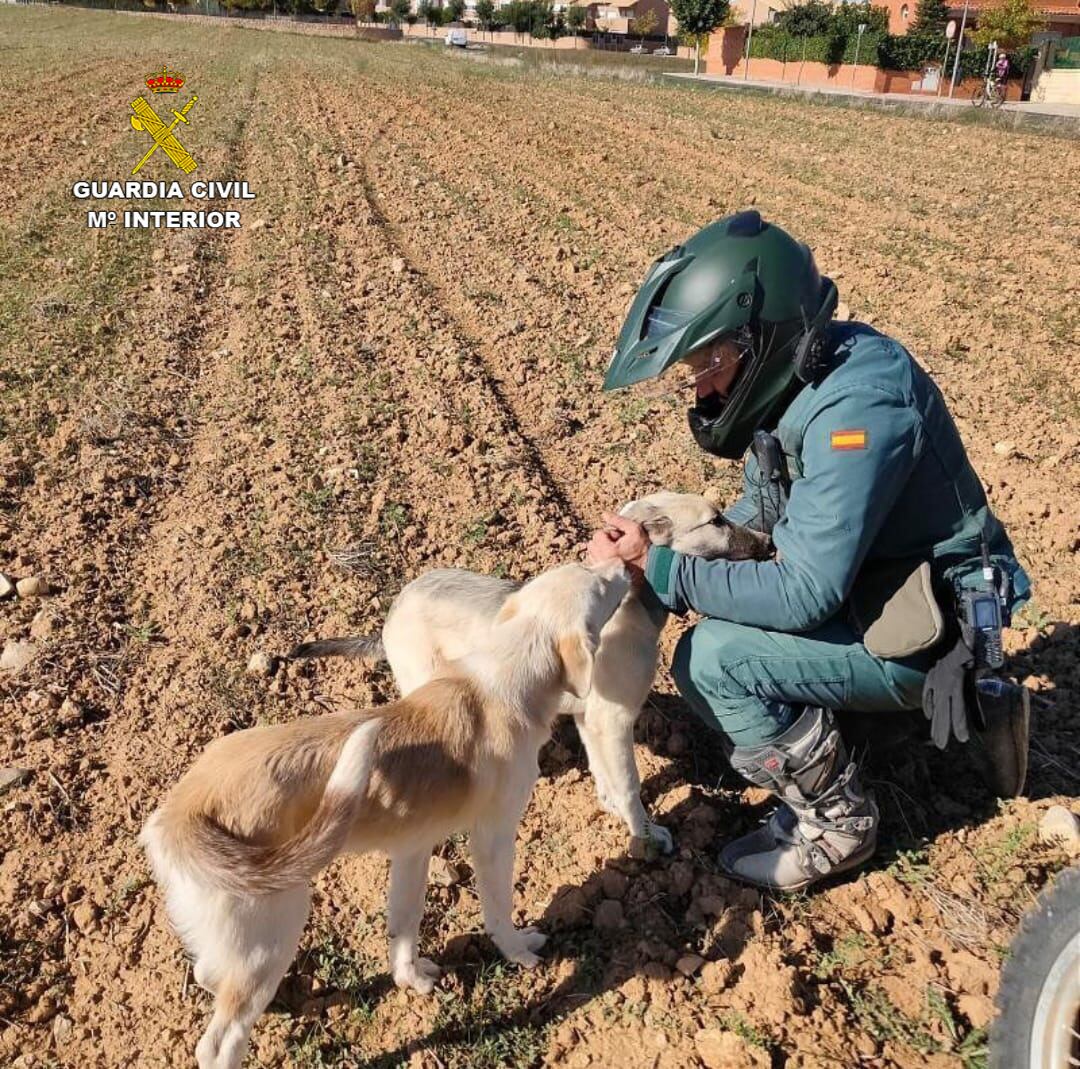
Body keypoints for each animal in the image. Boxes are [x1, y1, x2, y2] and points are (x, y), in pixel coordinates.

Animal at [143, 561, 630, 1069]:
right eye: (600, 585)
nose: (622, 565)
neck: (507, 673)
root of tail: (183, 812)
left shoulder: (412, 849)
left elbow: (404, 925)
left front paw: (411, 980)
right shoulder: (492, 839)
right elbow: (498, 910)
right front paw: (518, 952)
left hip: (236, 935)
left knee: (208, 972)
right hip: (275, 928)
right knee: (219, 1042)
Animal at [291, 498, 773, 859]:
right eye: (716, 520)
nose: (770, 542)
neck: (631, 605)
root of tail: (391, 613)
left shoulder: (591, 720)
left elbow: (605, 775)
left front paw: (612, 810)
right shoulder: (613, 720)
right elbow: (630, 786)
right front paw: (645, 838)